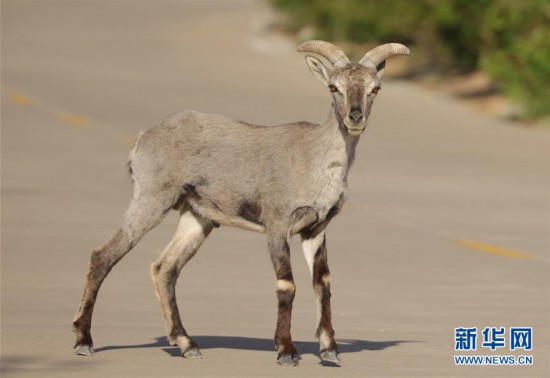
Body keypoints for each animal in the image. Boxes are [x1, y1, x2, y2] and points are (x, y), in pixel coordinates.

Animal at [72, 39, 410, 364]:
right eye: (333, 87)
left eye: (374, 88)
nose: (355, 117)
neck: (314, 159)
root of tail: (144, 138)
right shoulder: (277, 225)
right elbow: (286, 284)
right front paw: (286, 351)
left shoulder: (316, 229)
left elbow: (322, 283)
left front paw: (330, 350)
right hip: (151, 199)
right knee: (103, 256)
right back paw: (84, 340)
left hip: (197, 217)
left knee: (164, 267)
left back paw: (186, 343)